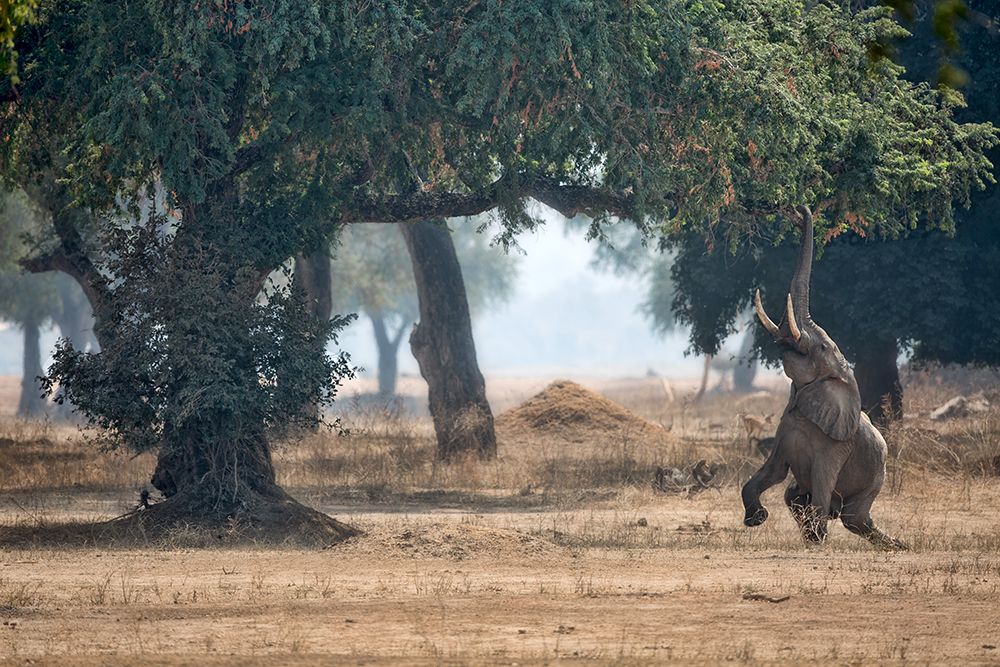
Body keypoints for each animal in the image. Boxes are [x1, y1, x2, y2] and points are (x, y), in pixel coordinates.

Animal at [740, 206, 904, 552]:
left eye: (823, 347)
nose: (799, 210)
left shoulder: (835, 448)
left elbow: (822, 483)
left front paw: (816, 541)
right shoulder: (785, 429)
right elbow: (771, 472)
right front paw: (757, 519)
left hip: (877, 476)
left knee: (853, 517)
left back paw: (891, 544)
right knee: (794, 497)